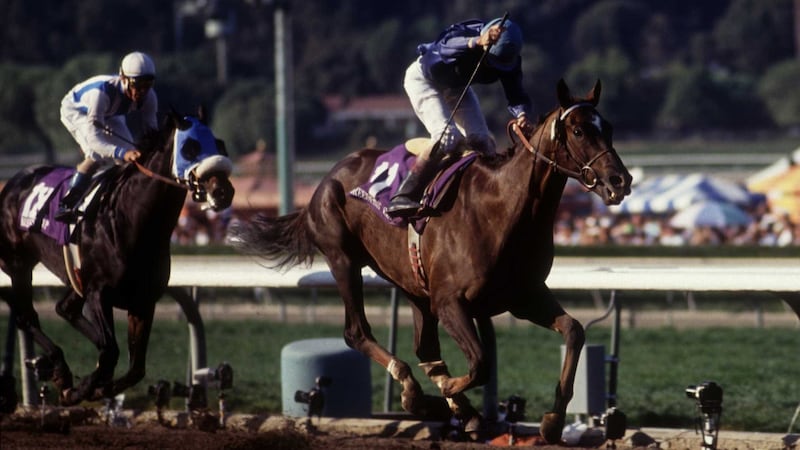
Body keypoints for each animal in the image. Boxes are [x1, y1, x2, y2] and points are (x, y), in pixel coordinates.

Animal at [0, 110, 234, 412]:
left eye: (220, 144)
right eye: (190, 148)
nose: (223, 192)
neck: (131, 222)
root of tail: (14, 181)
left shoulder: (142, 302)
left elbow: (135, 368)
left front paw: (101, 387)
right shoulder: (99, 293)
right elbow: (111, 352)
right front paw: (81, 389)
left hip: (76, 279)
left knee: (66, 309)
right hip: (19, 265)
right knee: (27, 318)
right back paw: (61, 371)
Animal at [231, 79, 632, 442]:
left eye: (610, 128)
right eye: (578, 130)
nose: (620, 180)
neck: (504, 210)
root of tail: (328, 177)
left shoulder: (523, 296)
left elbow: (574, 331)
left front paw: (551, 420)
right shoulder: (451, 301)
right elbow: (481, 362)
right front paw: (452, 392)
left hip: (412, 284)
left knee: (425, 347)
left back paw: (450, 407)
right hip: (343, 258)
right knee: (356, 332)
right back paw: (420, 394)